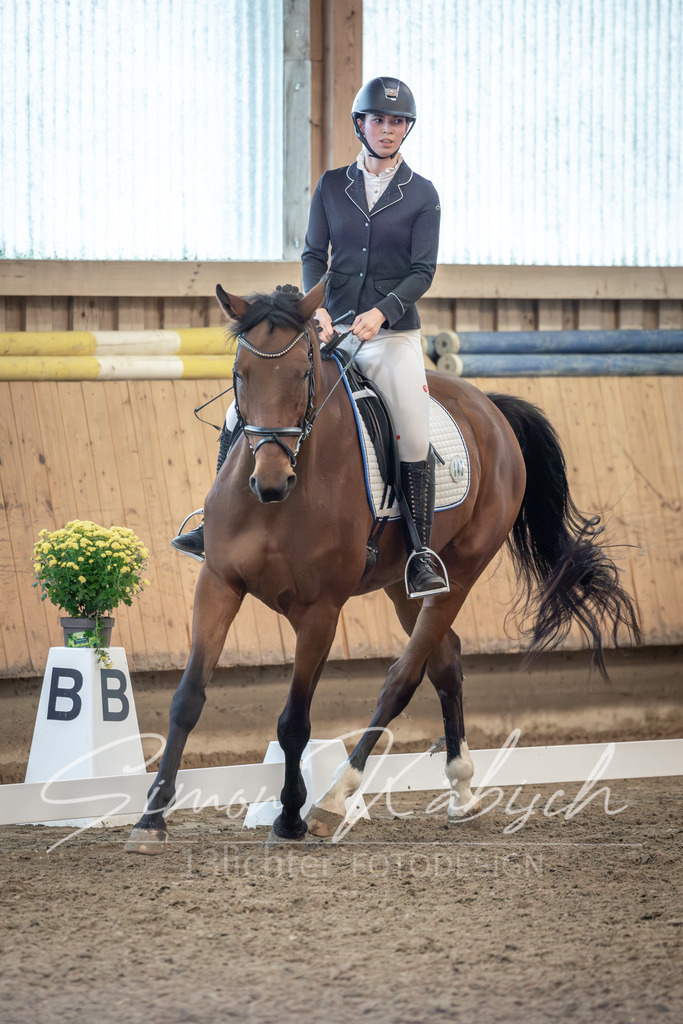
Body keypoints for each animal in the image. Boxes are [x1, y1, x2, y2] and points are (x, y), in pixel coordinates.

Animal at [125, 280, 641, 853]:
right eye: (240, 373)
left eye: (303, 371)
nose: (270, 482)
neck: (285, 498)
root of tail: (489, 407)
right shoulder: (218, 583)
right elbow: (187, 699)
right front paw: (150, 819)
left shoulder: (320, 611)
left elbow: (294, 721)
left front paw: (290, 818)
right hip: (401, 583)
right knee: (446, 661)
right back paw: (461, 790)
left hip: (459, 574)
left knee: (403, 676)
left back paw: (333, 799)